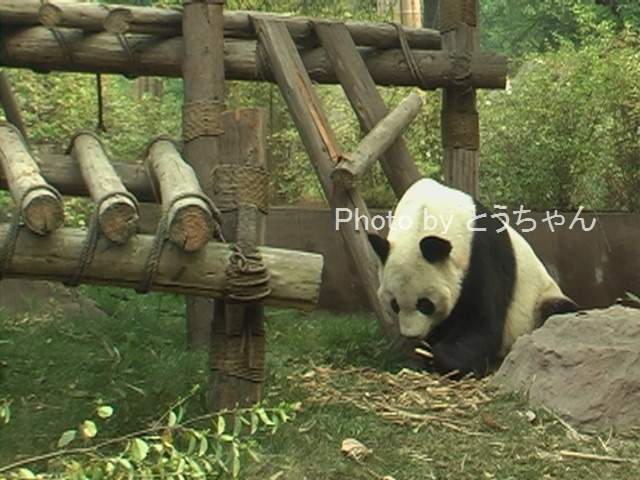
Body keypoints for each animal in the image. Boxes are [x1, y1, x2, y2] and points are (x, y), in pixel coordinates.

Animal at [364, 178, 580, 376]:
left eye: (425, 304)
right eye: (394, 304)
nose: (412, 335)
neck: (425, 215)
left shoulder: (482, 254)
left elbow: (483, 323)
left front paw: (440, 357)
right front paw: (420, 352)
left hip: (540, 300)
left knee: (558, 312)